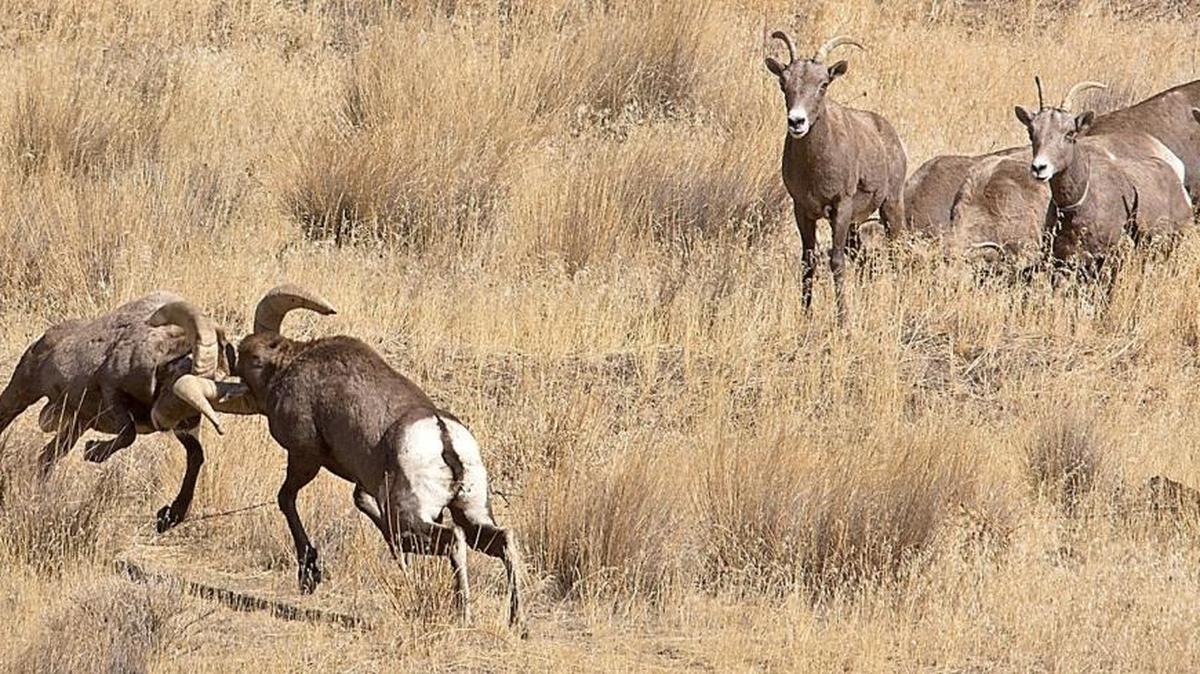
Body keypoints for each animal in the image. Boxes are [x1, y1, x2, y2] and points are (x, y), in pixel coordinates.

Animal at [0, 293, 235, 532]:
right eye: (175, 379)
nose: (165, 422)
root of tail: (43, 340)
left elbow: (196, 456)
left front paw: (170, 516)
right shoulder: (112, 393)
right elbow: (128, 434)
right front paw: (92, 452)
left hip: (76, 426)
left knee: (46, 458)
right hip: (21, 394)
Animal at [168, 285, 524, 631]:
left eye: (252, 360)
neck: (290, 368)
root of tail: (442, 436)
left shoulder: (304, 458)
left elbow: (286, 499)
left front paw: (309, 575)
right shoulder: (362, 483)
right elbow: (364, 506)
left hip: (413, 516)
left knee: (453, 540)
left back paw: (463, 615)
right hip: (470, 512)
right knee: (501, 539)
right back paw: (517, 623)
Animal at [765, 32, 907, 317]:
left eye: (823, 84)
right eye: (783, 83)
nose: (797, 122)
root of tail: (889, 132)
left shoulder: (840, 208)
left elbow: (836, 262)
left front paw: (843, 320)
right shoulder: (803, 210)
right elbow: (808, 262)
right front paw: (806, 316)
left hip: (890, 208)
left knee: (894, 253)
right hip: (854, 225)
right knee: (863, 259)